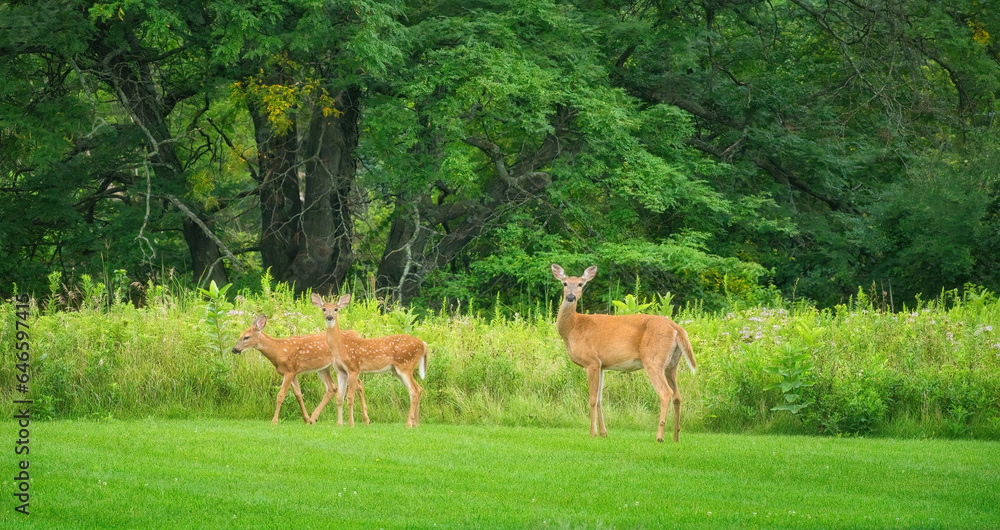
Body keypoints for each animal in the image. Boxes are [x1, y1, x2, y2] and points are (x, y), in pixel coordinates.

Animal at [231, 315, 369, 425]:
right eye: (239, 336)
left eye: (246, 337)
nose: (234, 349)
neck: (277, 350)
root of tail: (355, 333)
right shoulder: (293, 372)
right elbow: (298, 395)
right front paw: (306, 419)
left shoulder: (289, 371)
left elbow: (280, 395)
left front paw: (274, 421)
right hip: (323, 368)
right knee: (332, 388)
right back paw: (314, 418)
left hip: (346, 365)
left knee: (359, 384)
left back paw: (366, 419)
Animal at [311, 293, 428, 428]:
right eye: (324, 309)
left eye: (336, 309)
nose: (329, 317)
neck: (340, 345)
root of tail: (423, 344)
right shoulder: (340, 371)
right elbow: (339, 398)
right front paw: (339, 424)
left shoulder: (353, 368)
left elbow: (350, 397)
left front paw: (351, 424)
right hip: (397, 370)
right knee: (418, 389)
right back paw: (415, 423)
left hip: (405, 365)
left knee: (414, 391)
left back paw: (408, 424)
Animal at [551, 264, 697, 442]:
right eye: (564, 283)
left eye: (580, 284)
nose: (571, 297)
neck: (573, 327)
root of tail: (676, 328)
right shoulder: (602, 365)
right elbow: (599, 399)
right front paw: (604, 433)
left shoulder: (591, 361)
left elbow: (592, 399)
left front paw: (593, 433)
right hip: (672, 364)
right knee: (677, 396)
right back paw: (676, 437)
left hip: (653, 359)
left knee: (665, 392)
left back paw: (659, 436)